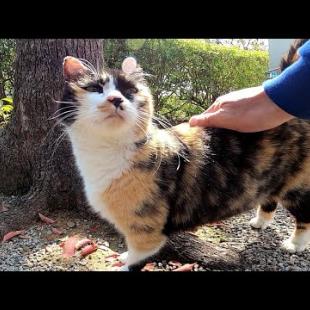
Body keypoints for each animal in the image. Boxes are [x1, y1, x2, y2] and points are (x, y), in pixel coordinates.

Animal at [58, 42, 310, 270]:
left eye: (130, 91)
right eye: (95, 88)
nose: (116, 99)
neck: (107, 152)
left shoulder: (147, 233)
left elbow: (136, 259)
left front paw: (124, 263)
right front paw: (123, 255)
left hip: (298, 187)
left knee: (304, 216)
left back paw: (294, 244)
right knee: (269, 198)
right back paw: (259, 222)